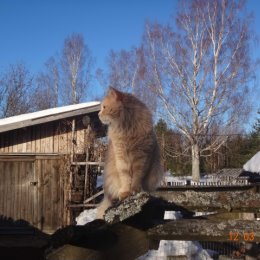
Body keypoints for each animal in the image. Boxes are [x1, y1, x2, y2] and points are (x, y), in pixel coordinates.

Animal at [96, 88, 164, 219]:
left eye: (104, 107)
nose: (98, 114)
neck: (127, 129)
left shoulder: (142, 157)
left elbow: (137, 177)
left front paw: (135, 190)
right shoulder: (121, 156)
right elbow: (125, 177)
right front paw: (126, 192)